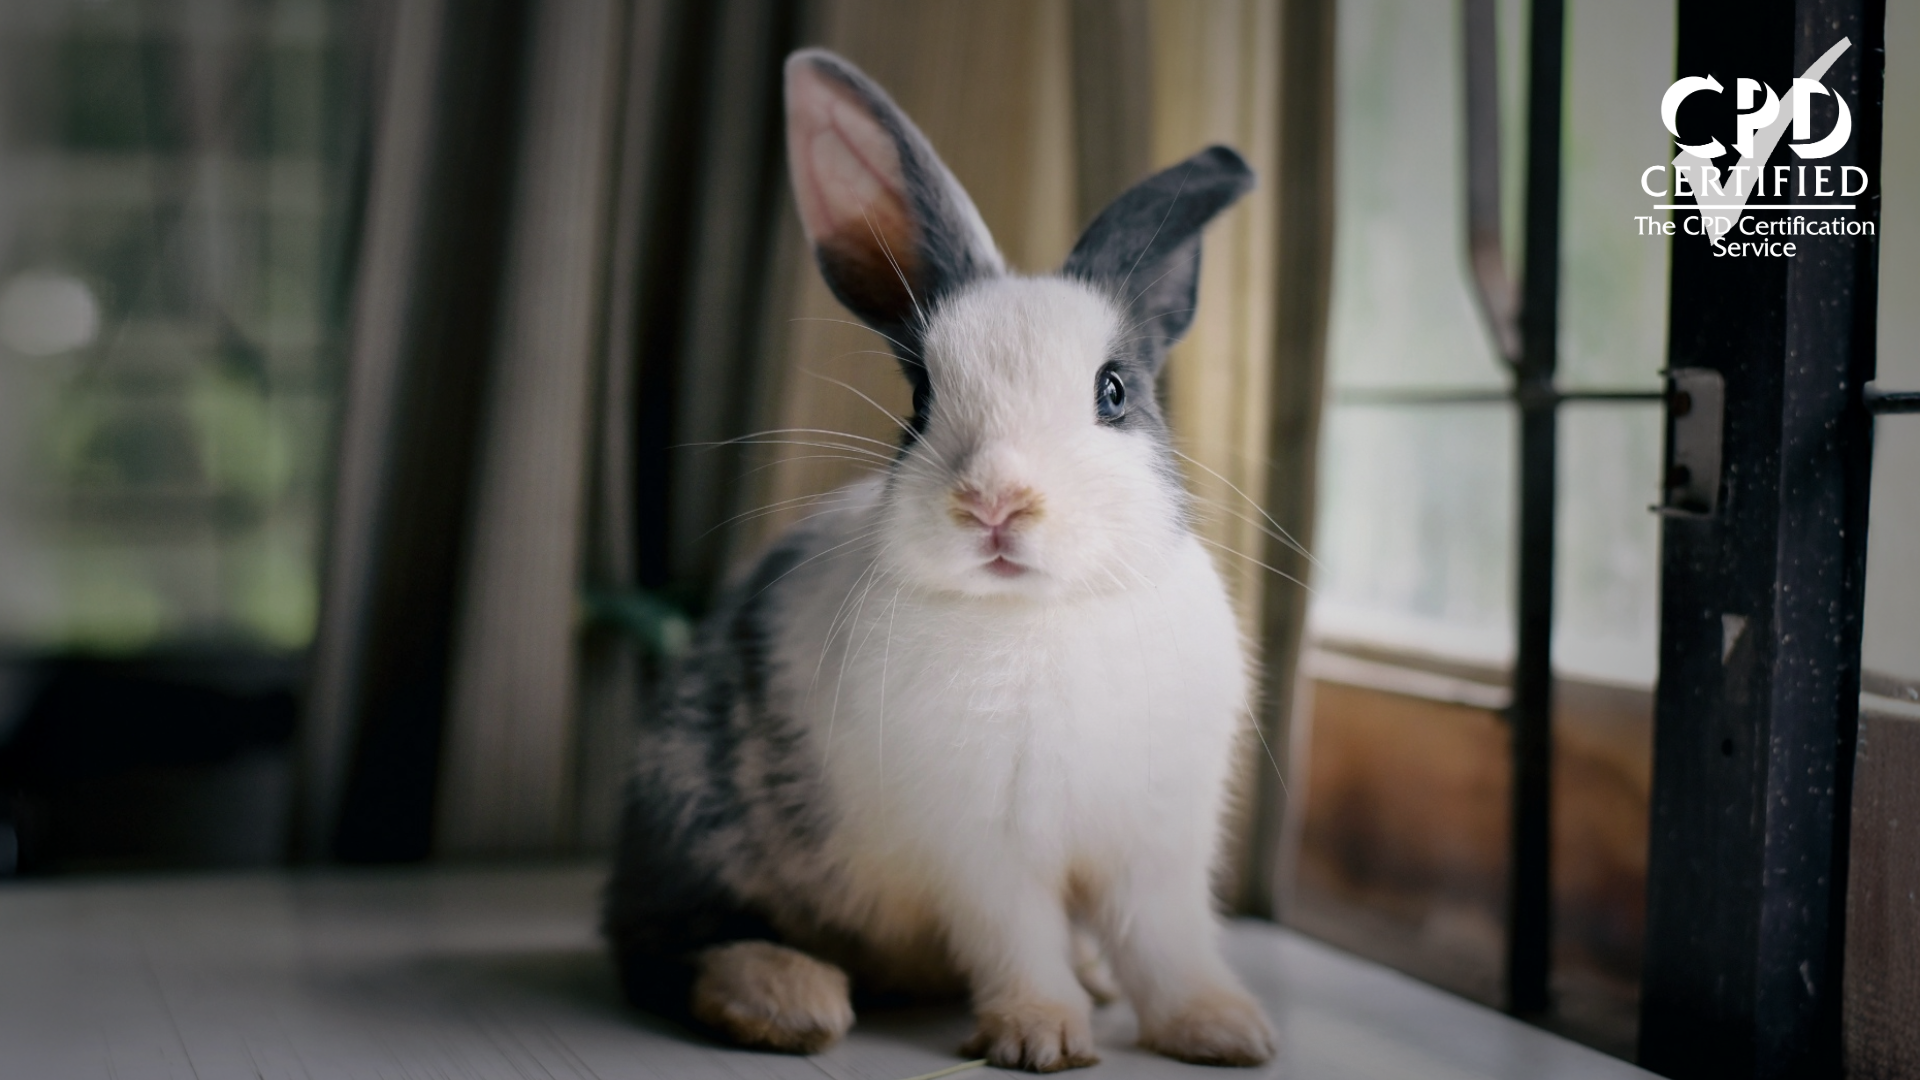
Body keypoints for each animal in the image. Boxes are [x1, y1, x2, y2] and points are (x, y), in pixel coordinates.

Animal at [603, 47, 1273, 1073]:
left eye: (1114, 392)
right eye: (919, 399)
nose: (994, 501)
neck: (1042, 614)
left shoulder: (1157, 842)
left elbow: (1167, 940)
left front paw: (1225, 1030)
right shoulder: (983, 850)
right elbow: (1019, 940)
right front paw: (1042, 1036)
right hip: (692, 818)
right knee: (663, 944)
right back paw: (788, 997)